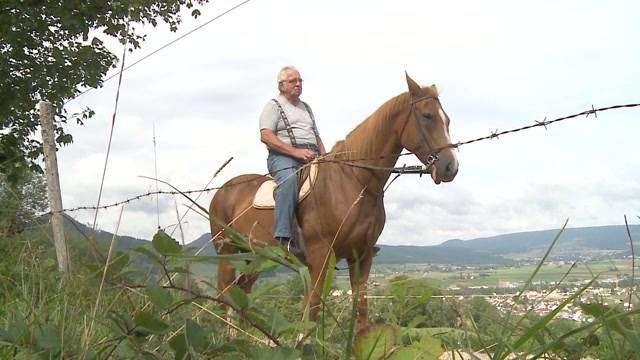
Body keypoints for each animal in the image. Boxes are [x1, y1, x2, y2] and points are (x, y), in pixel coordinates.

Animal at [212, 74, 458, 332]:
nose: (450, 167)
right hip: (227, 252)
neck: (355, 180)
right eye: (427, 116)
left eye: (447, 120)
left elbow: (361, 308)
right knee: (225, 295)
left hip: (255, 258)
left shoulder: (362, 257)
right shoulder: (320, 257)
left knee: (243, 292)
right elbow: (313, 307)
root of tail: (222, 191)